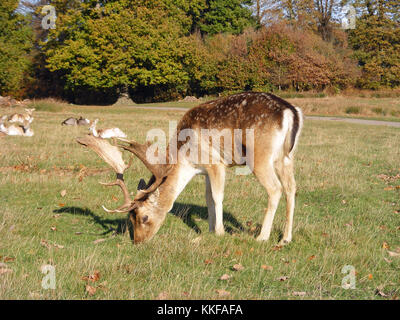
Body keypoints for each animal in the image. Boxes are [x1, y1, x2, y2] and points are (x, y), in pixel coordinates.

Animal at [78, 92, 302, 245]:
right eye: (130, 218)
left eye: (143, 217)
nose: (138, 241)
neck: (186, 159)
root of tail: (291, 112)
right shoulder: (203, 171)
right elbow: (208, 198)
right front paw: (210, 230)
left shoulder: (215, 162)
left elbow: (217, 197)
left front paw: (220, 232)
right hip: (286, 157)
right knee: (291, 187)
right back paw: (285, 238)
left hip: (260, 156)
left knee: (275, 188)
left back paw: (262, 237)